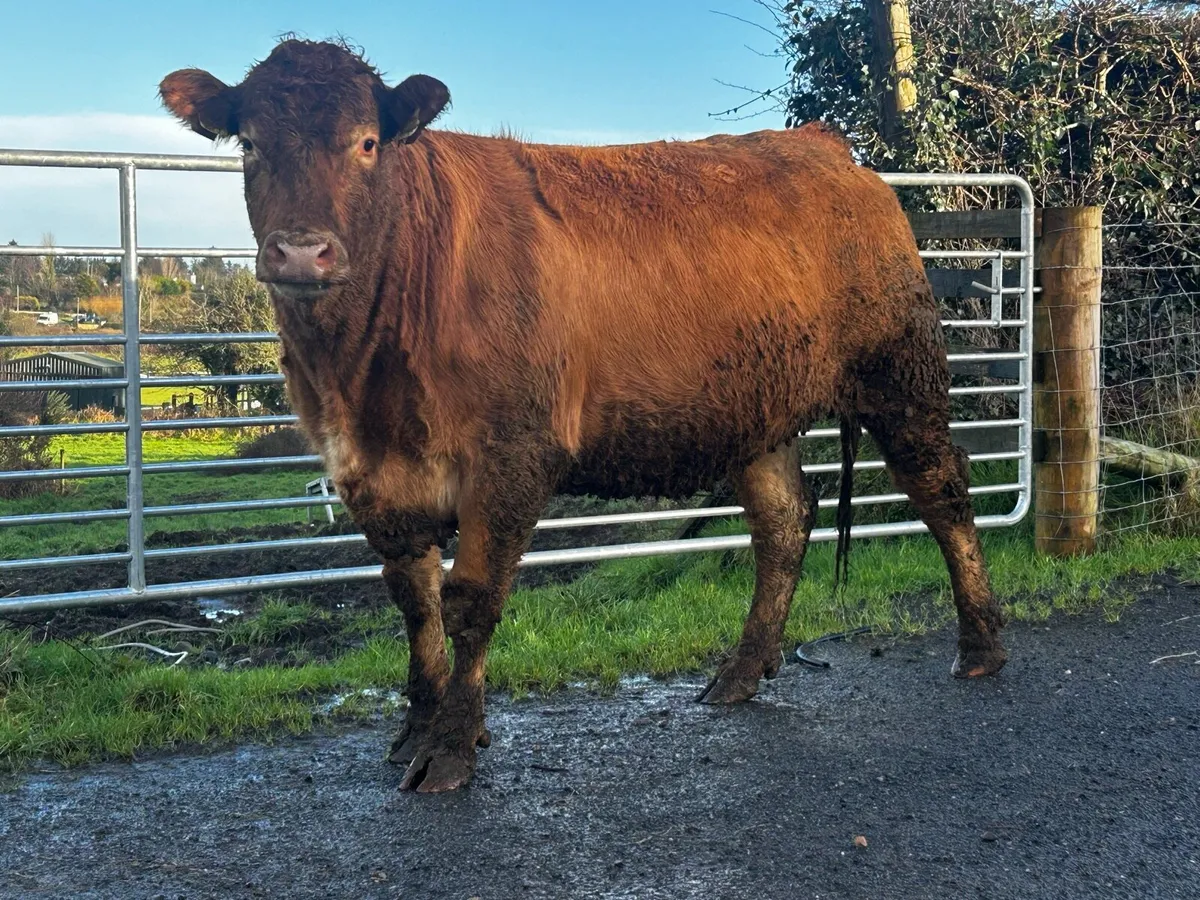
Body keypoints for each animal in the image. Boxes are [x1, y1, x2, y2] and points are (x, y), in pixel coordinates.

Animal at [160, 39, 1007, 793]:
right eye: (250, 144)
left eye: (367, 143)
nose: (303, 253)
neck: (363, 373)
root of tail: (825, 149)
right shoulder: (368, 470)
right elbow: (412, 599)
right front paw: (414, 728)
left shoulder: (511, 454)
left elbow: (470, 601)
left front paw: (451, 747)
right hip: (756, 412)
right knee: (784, 522)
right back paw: (740, 672)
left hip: (901, 375)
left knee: (943, 492)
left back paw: (981, 644)